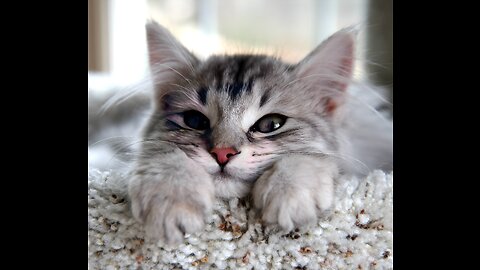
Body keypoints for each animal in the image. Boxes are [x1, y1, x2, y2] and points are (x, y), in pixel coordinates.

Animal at [125, 21, 392, 245]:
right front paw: (170, 201)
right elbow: (165, 155)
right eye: (194, 121)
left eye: (270, 124)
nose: (222, 153)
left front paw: (289, 195)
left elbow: (307, 157)